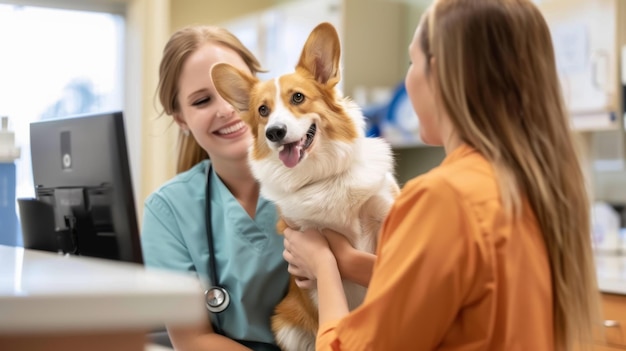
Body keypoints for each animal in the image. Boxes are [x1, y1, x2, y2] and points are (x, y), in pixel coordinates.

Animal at [208, 21, 394, 351]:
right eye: (263, 110)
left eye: (297, 97)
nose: (274, 132)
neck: (324, 177)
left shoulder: (383, 214)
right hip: (286, 323)